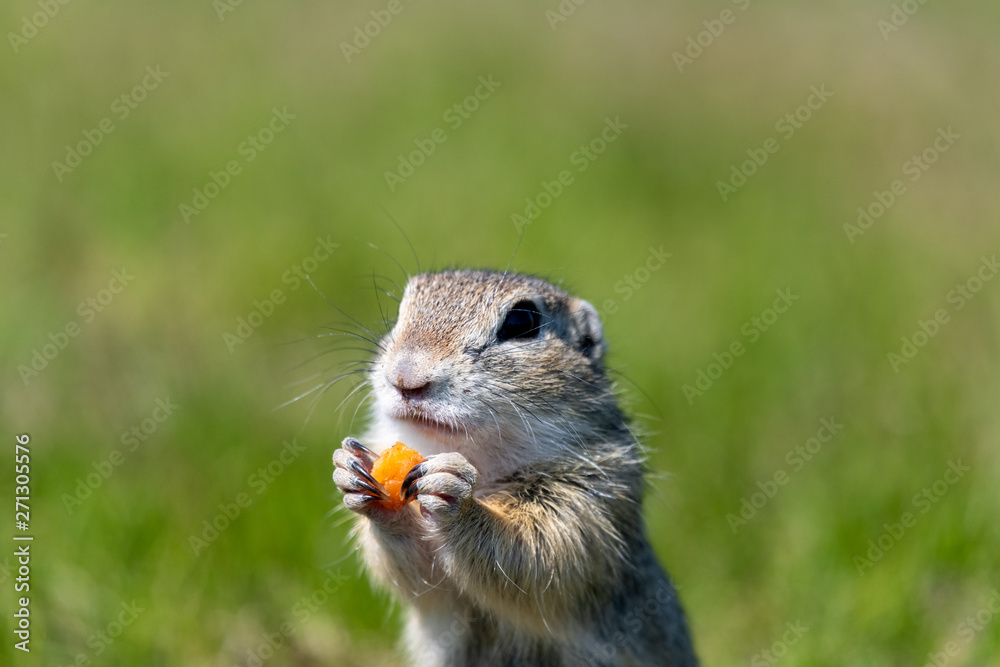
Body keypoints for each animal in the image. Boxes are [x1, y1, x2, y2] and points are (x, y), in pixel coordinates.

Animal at [332, 269, 697, 666]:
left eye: (522, 321)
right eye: (401, 311)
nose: (405, 378)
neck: (479, 462)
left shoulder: (588, 503)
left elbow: (536, 555)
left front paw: (456, 497)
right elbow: (420, 579)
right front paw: (354, 473)